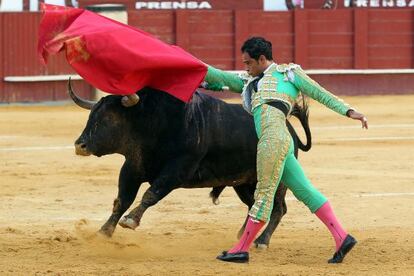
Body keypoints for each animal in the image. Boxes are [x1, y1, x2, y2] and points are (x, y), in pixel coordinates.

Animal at [70, 80, 310, 248]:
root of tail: (290, 130)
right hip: (243, 183)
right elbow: (122, 200)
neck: (154, 124)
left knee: (278, 208)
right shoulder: (132, 167)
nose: (79, 145)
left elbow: (151, 193)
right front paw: (103, 232)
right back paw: (244, 235)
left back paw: (262, 241)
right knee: (254, 205)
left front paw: (130, 220)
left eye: (108, 119)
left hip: (279, 178)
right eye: (91, 116)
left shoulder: (178, 170)